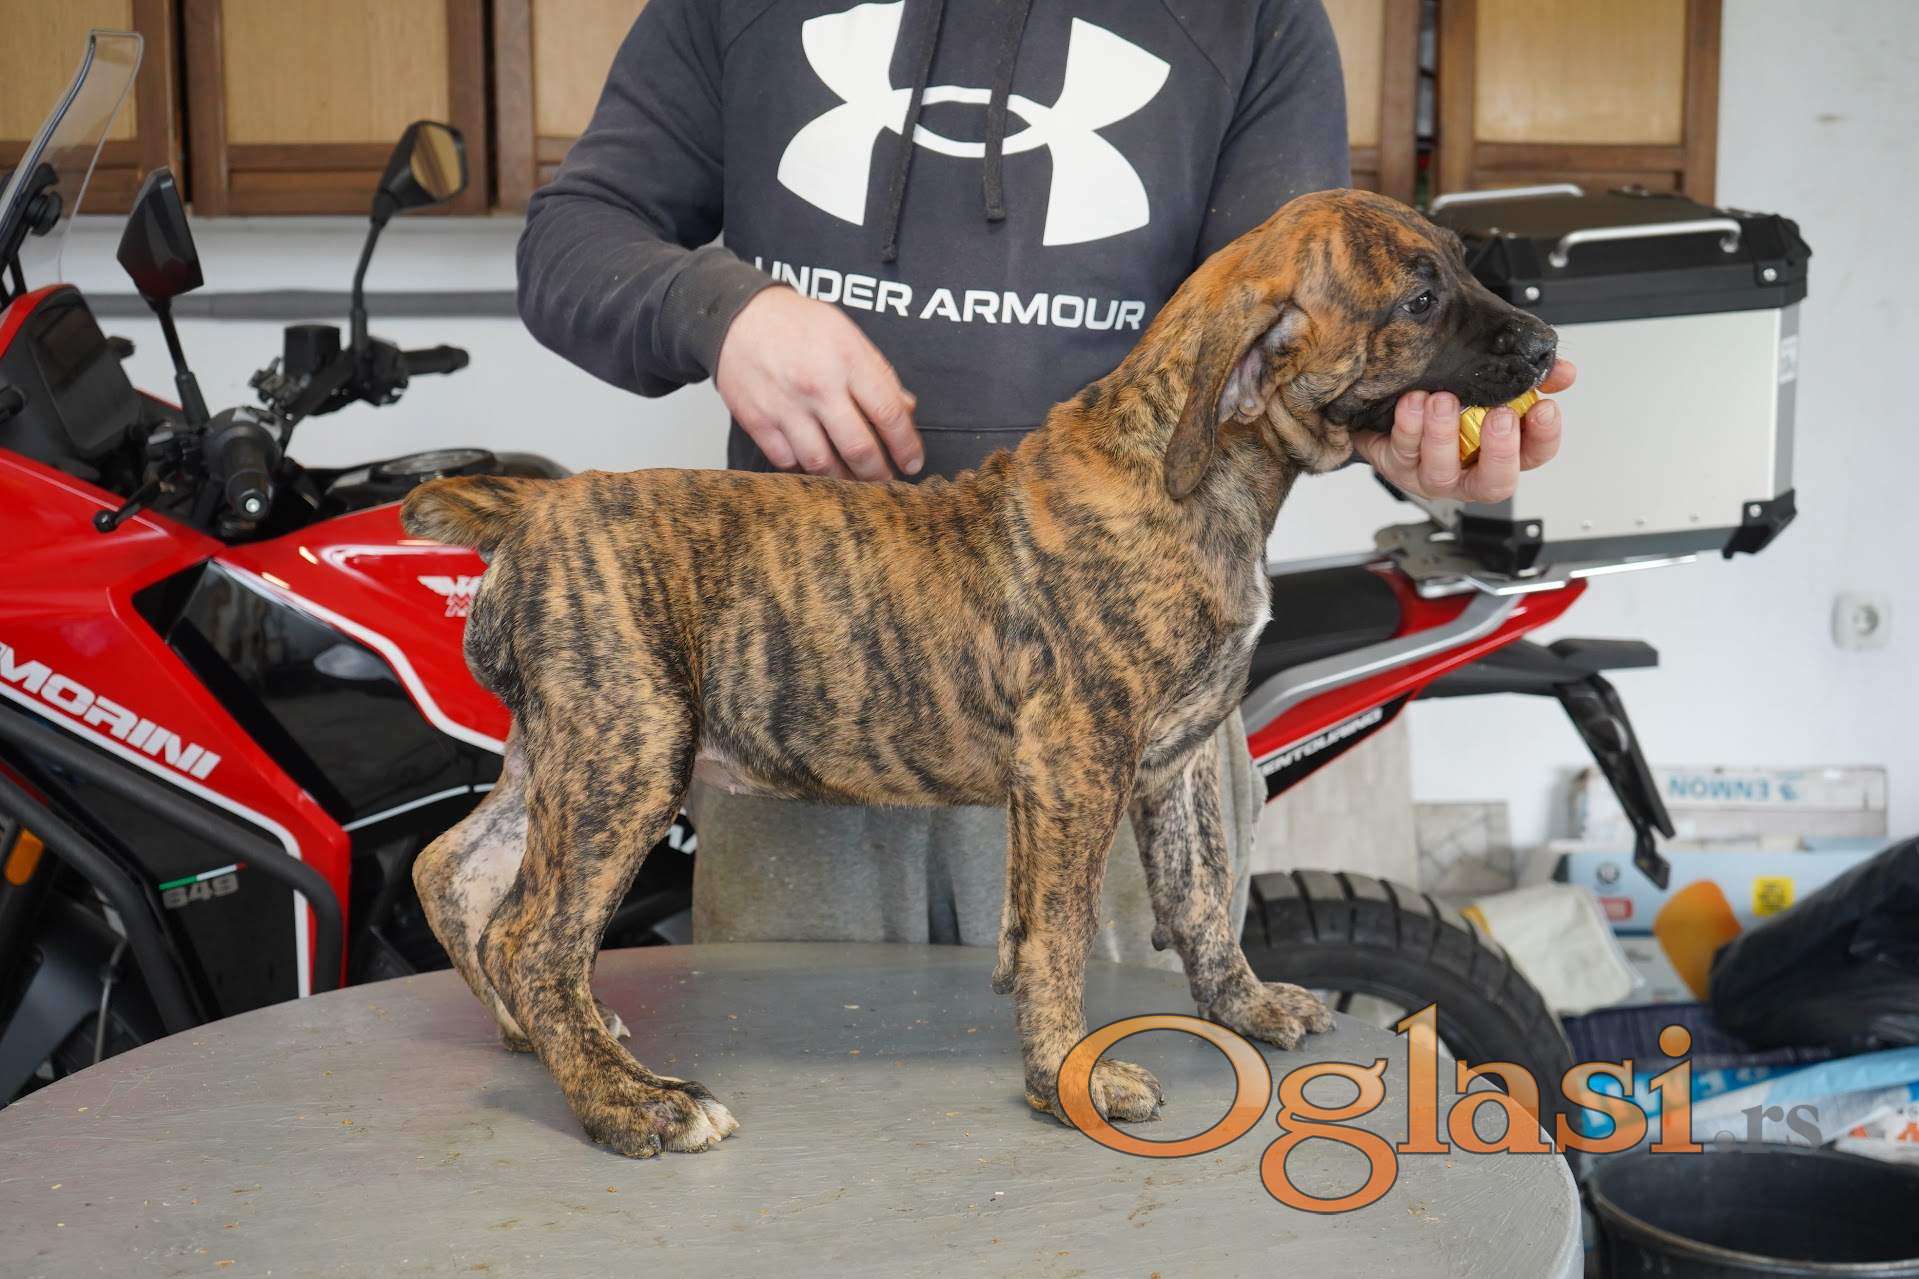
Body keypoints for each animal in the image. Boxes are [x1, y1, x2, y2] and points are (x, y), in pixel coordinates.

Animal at [401, 188, 1558, 1158]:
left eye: (1460, 265)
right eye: (1418, 298)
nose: (1547, 343)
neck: (1194, 471)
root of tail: (532, 507)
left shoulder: (1173, 758)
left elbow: (1198, 896)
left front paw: (1245, 1008)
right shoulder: (1078, 766)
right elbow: (1055, 939)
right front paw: (1070, 1081)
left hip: (568, 749)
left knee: (457, 873)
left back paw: (545, 1037)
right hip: (630, 750)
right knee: (535, 933)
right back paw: (627, 1101)